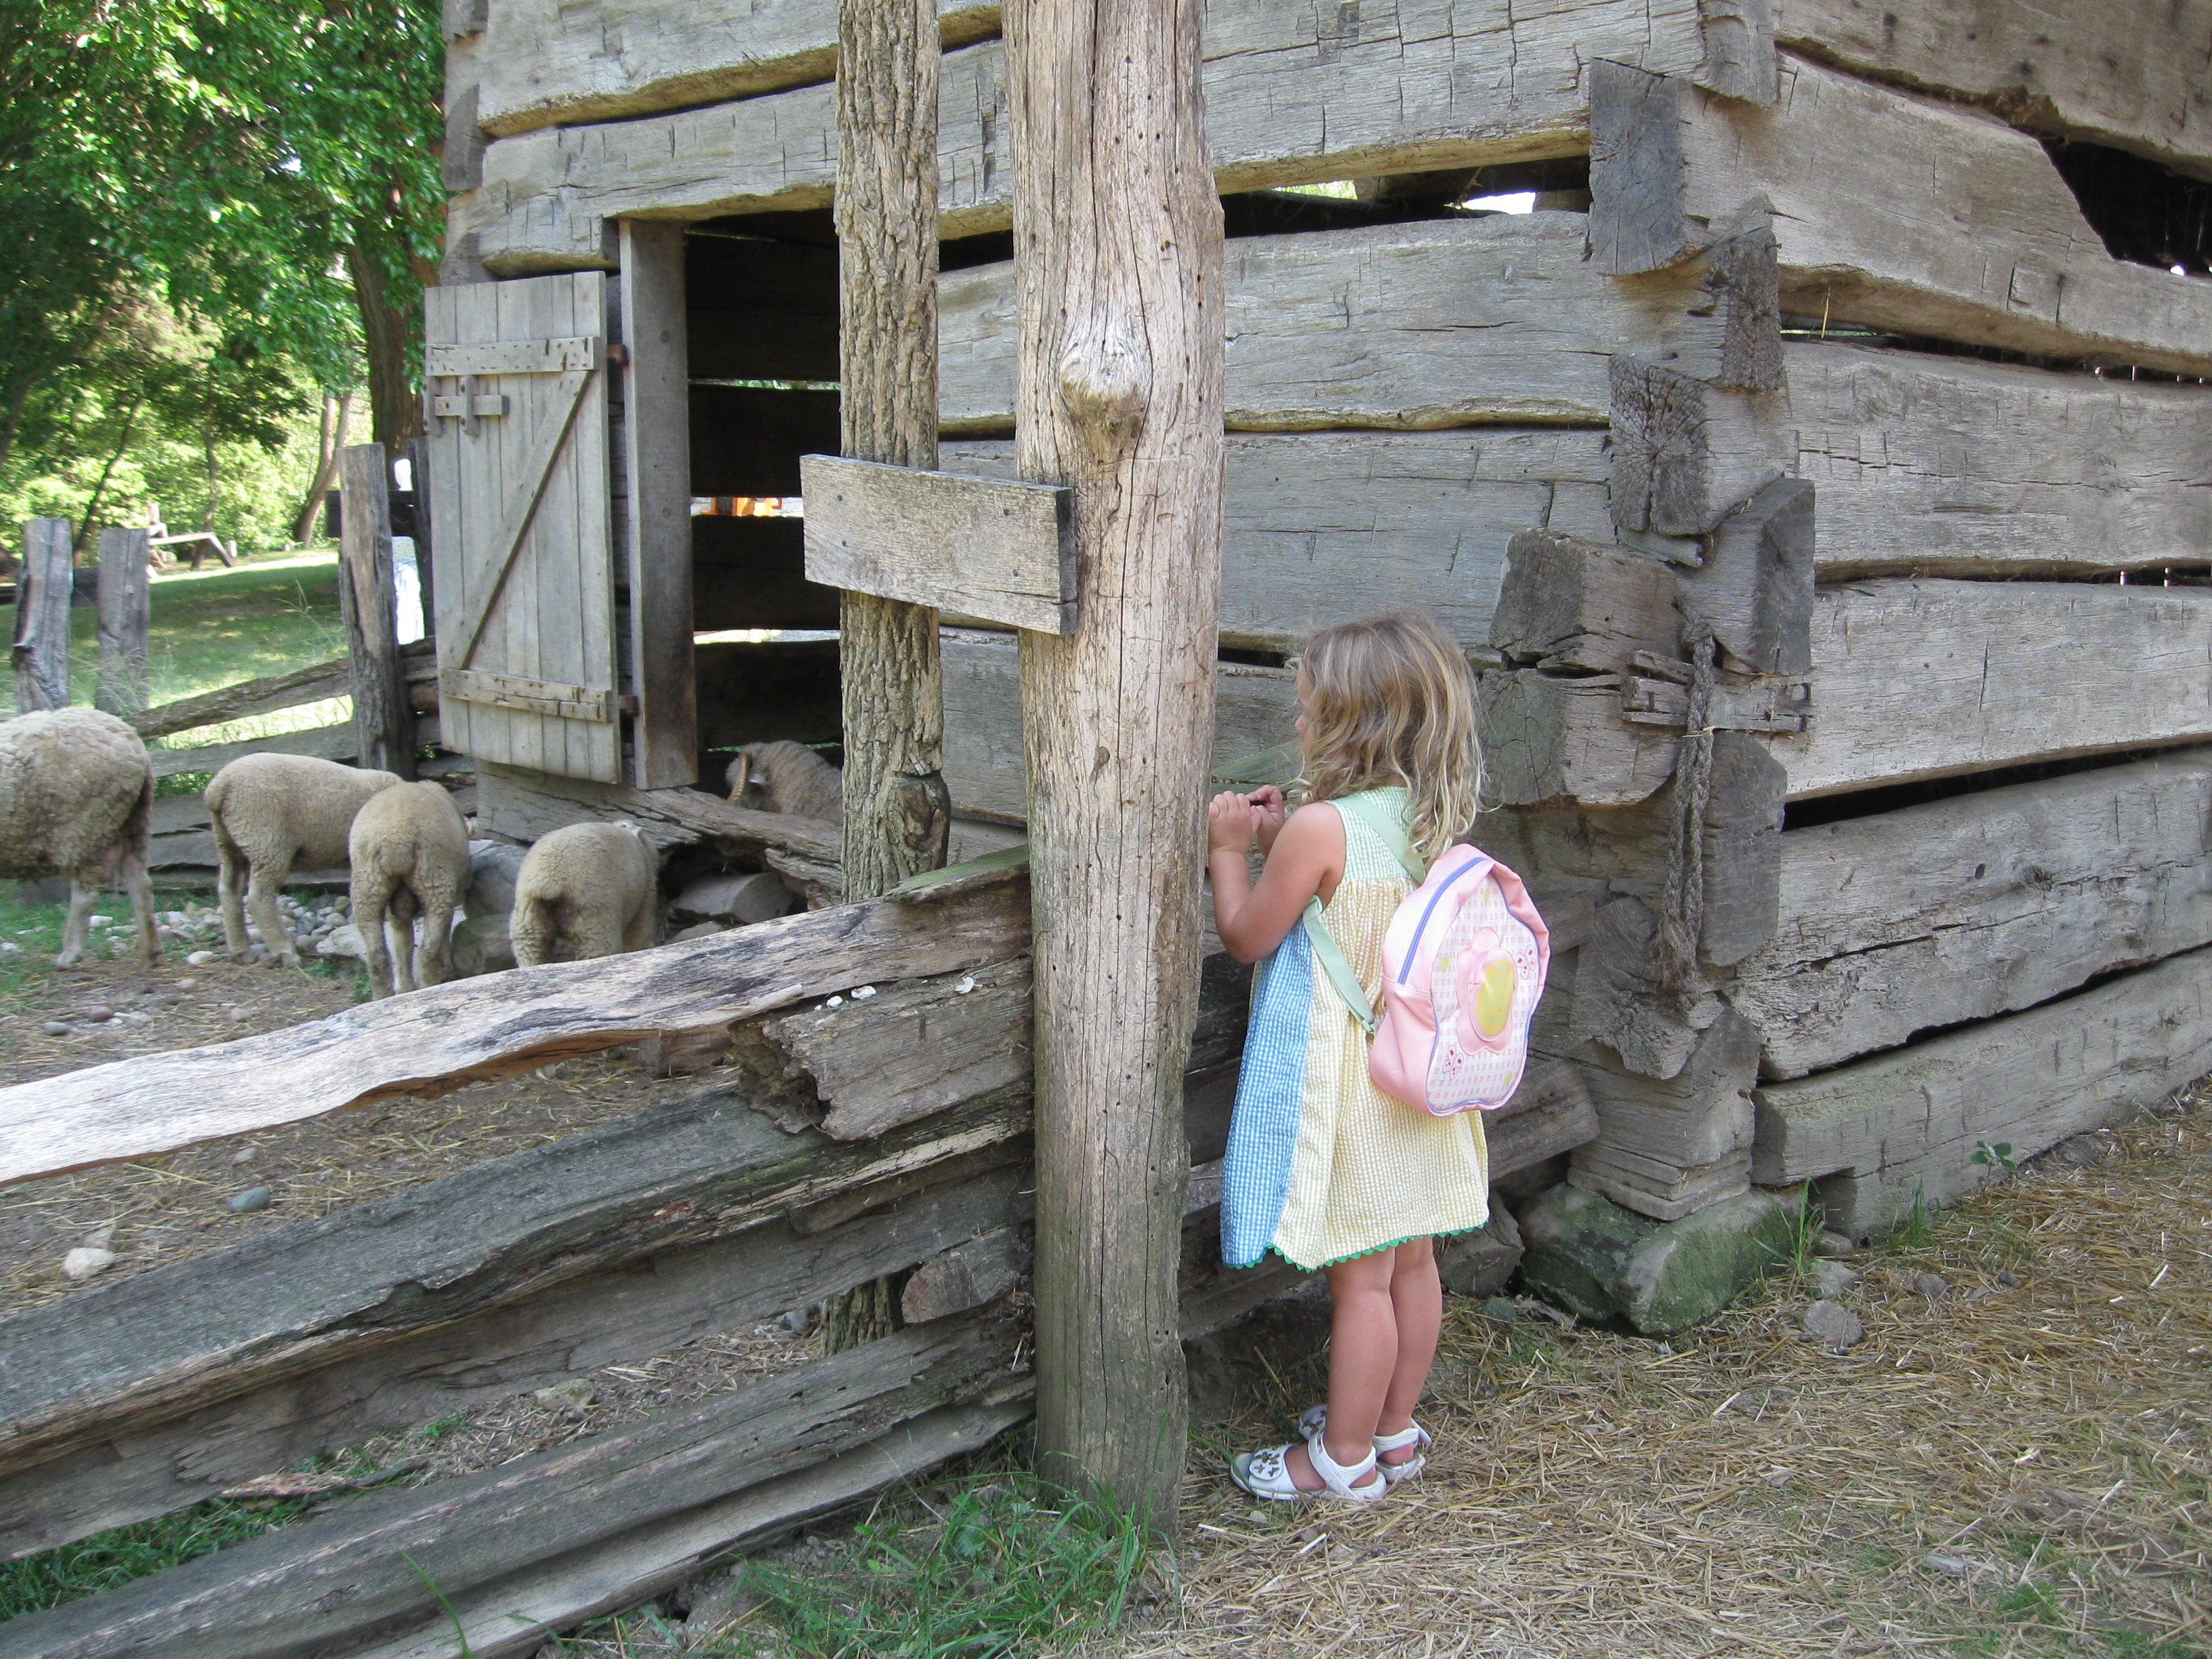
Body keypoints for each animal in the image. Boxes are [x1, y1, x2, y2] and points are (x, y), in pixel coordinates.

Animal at [0, 703, 158, 968]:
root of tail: (131, 739)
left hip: (85, 826)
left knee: (86, 896)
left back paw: (70, 953)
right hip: (134, 818)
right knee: (139, 881)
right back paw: (151, 951)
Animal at [207, 756, 403, 973]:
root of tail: (220, 785)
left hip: (228, 842)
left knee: (228, 890)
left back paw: (241, 951)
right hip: (266, 839)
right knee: (259, 898)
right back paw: (285, 952)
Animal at [345, 783, 471, 1000]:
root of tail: (396, 838)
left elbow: (402, 936)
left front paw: (404, 986)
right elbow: (445, 932)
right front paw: (446, 968)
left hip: (367, 884)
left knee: (377, 954)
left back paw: (383, 996)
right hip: (434, 877)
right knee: (429, 948)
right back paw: (430, 985)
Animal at [506, 823, 655, 968]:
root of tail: (551, 881)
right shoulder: (644, 887)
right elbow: (638, 930)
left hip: (529, 907)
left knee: (529, 945)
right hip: (592, 905)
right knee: (597, 944)